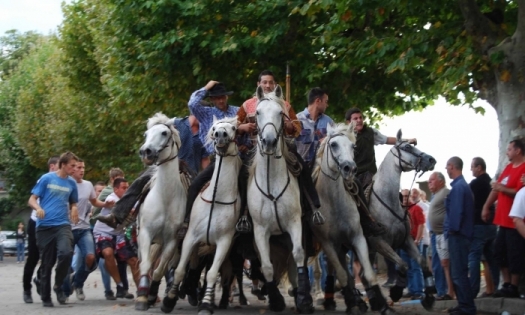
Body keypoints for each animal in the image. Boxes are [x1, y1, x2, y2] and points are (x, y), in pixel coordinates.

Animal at [134, 113, 187, 312]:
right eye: (146, 134)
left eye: (164, 133)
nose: (146, 152)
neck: (165, 197)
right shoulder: (145, 234)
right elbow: (146, 264)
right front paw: (142, 298)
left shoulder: (172, 240)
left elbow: (160, 269)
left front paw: (151, 294)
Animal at [162, 116, 242, 315]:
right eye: (214, 128)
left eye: (234, 129)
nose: (220, 135)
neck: (217, 200)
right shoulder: (191, 238)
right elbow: (180, 269)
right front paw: (168, 300)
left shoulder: (223, 242)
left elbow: (212, 274)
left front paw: (206, 304)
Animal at [248, 85, 314, 314]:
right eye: (258, 113)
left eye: (280, 114)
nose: (269, 142)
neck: (271, 183)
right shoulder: (260, 231)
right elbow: (267, 266)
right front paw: (276, 300)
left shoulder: (294, 224)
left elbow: (299, 255)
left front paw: (304, 299)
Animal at [312, 123, 392, 315]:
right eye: (334, 145)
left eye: (352, 146)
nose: (350, 168)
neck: (334, 202)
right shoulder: (327, 243)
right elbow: (342, 275)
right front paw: (353, 302)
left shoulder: (357, 237)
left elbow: (368, 274)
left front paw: (382, 305)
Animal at [366, 130, 436, 310]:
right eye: (406, 148)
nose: (431, 160)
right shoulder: (381, 243)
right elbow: (403, 265)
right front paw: (396, 292)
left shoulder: (406, 240)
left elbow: (421, 261)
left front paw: (429, 295)